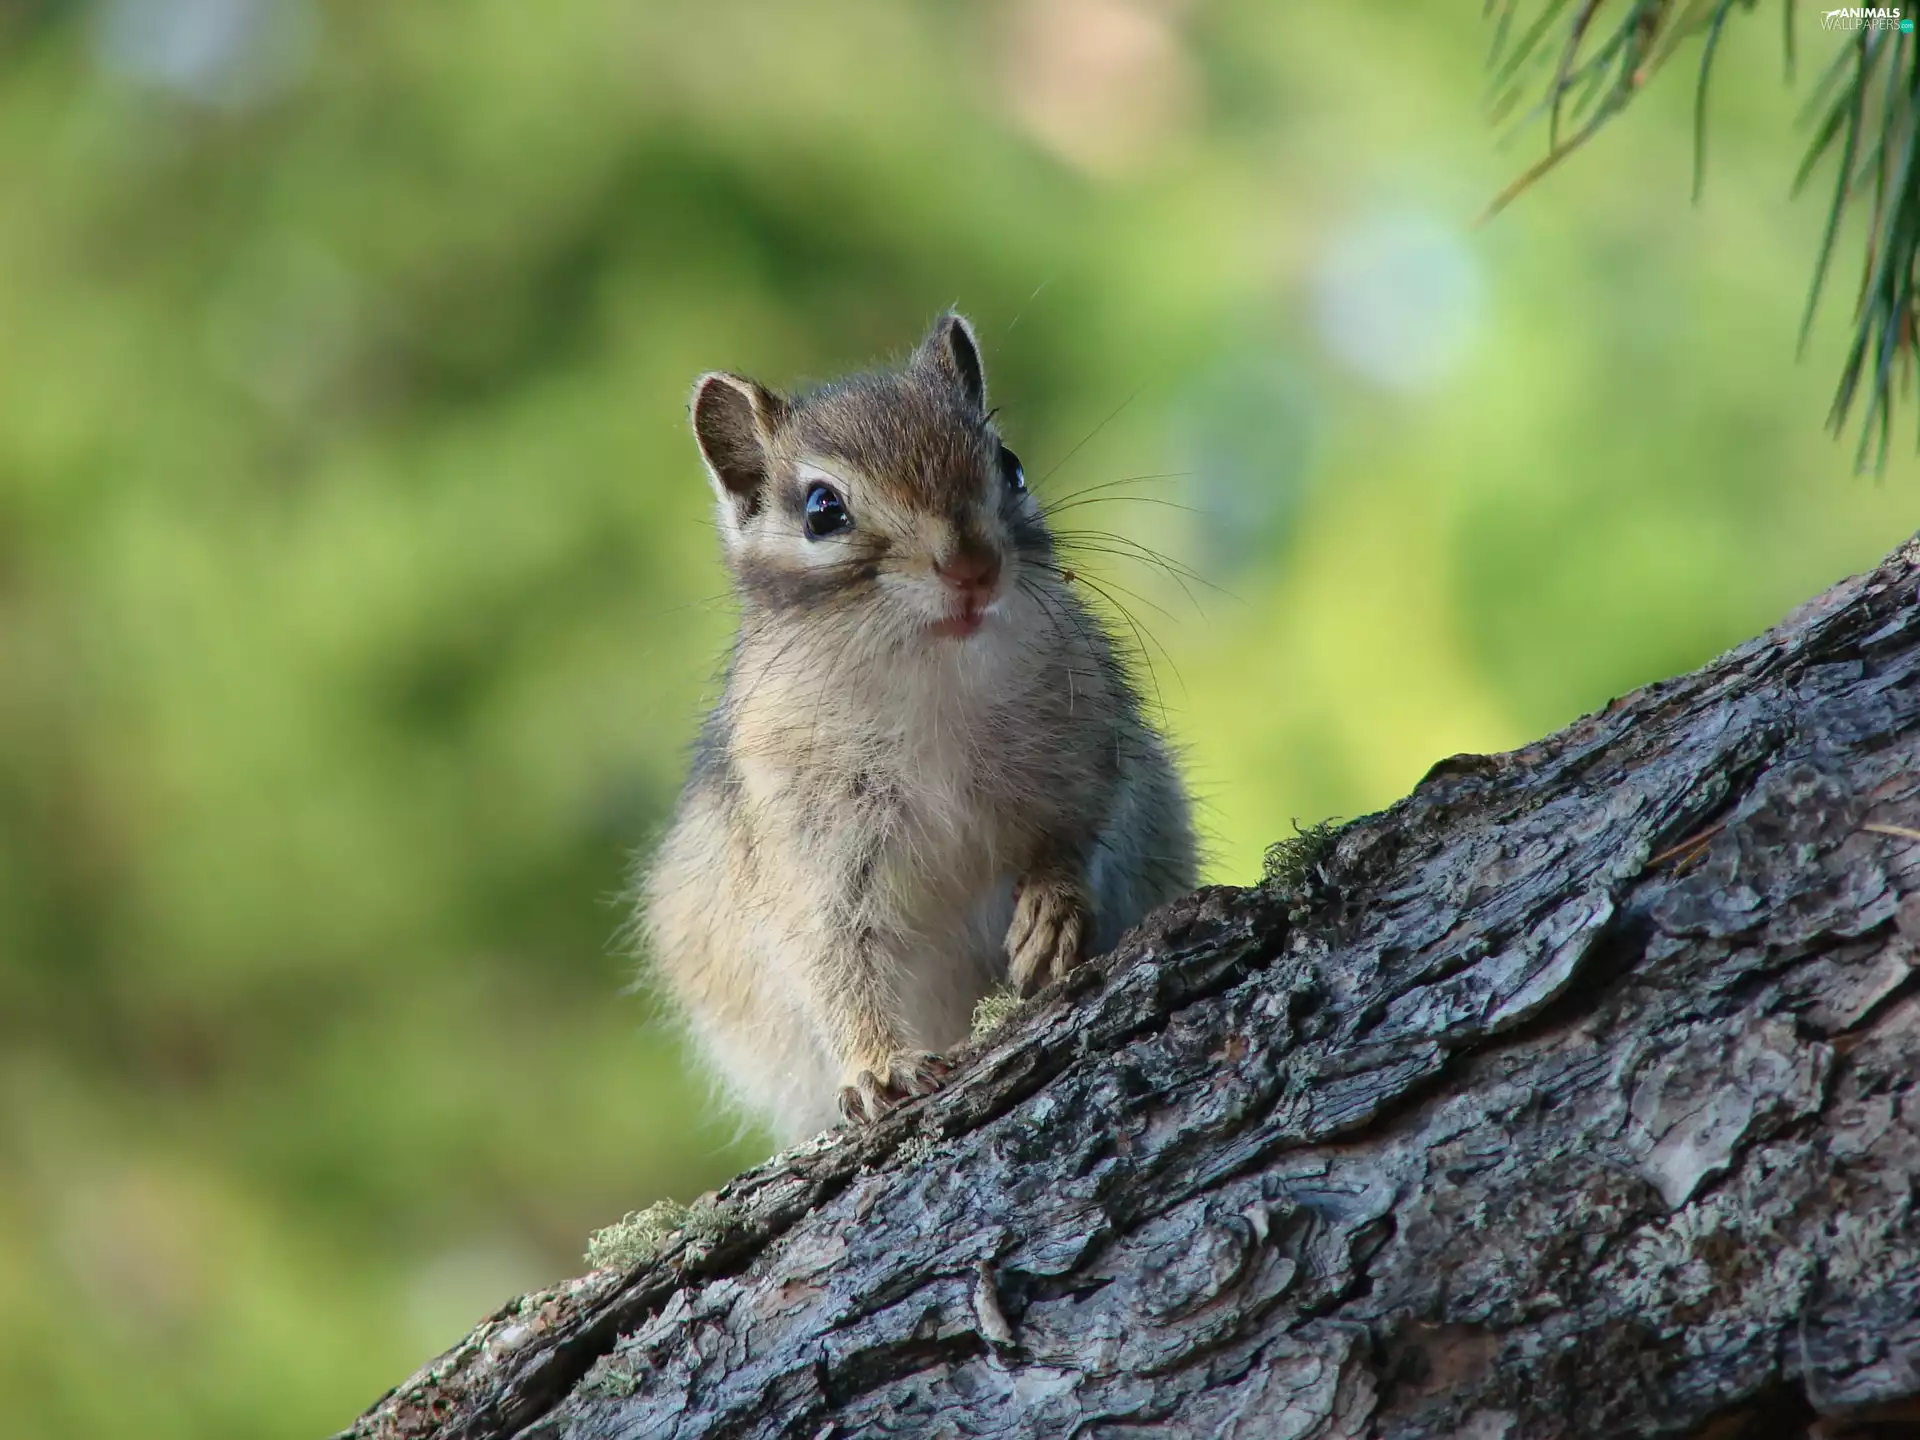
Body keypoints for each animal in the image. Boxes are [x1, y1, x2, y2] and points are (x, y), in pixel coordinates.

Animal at [640, 313, 1196, 1142]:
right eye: (822, 510)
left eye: (1011, 466)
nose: (972, 568)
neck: (929, 675)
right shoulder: (806, 845)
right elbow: (832, 959)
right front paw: (876, 1066)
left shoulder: (1090, 747)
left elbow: (1077, 832)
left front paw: (1051, 909)